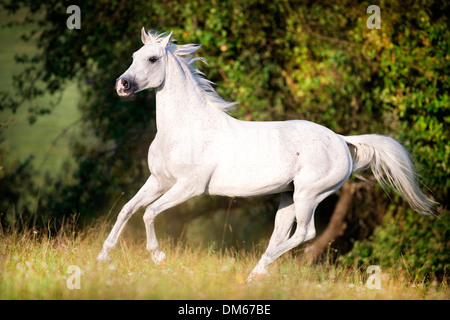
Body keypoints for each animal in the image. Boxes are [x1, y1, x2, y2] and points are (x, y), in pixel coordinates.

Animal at [97, 28, 436, 282]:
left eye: (153, 58)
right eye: (133, 57)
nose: (122, 85)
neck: (186, 127)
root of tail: (341, 140)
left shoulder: (189, 187)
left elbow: (149, 213)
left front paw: (159, 257)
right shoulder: (159, 180)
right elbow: (127, 210)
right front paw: (102, 258)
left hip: (308, 195)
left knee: (305, 233)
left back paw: (256, 272)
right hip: (288, 197)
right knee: (282, 234)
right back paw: (254, 276)